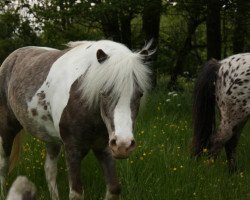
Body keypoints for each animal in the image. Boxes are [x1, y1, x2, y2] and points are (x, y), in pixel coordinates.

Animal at [0, 39, 152, 199]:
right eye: (104, 93)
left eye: (140, 94)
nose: (123, 145)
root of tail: (11, 57)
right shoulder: (73, 150)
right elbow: (76, 193)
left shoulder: (104, 148)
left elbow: (113, 189)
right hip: (7, 130)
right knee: (3, 164)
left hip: (51, 140)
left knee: (49, 170)